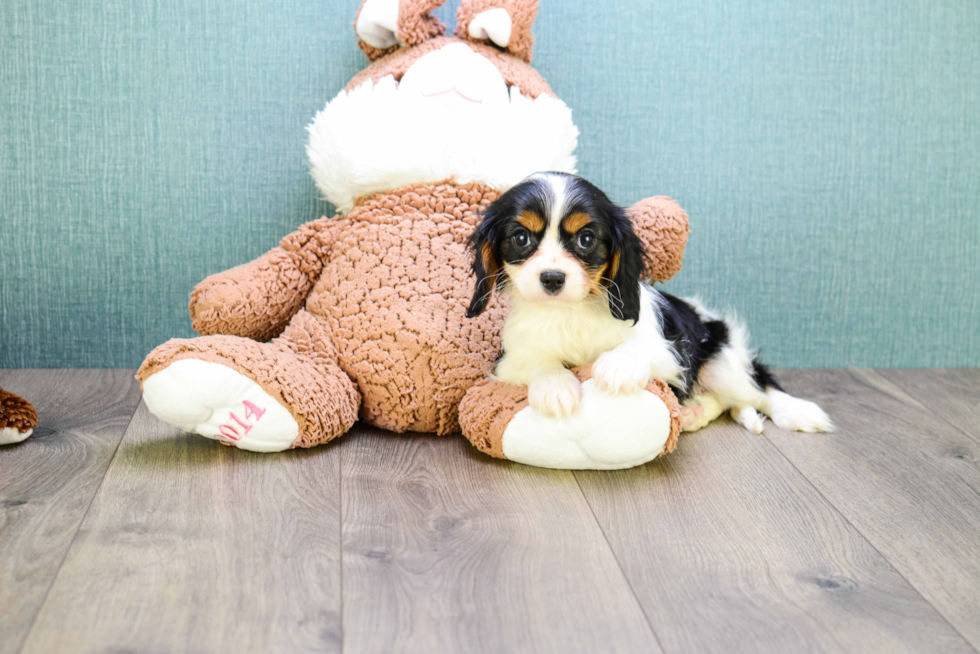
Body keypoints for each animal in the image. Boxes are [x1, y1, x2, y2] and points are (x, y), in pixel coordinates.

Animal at [468, 173, 836, 436]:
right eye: (521, 238)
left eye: (586, 239)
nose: (552, 278)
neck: (570, 313)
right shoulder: (509, 359)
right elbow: (538, 360)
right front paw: (555, 388)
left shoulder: (670, 349)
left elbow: (637, 347)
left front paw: (615, 367)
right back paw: (692, 412)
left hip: (722, 360)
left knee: (758, 390)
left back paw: (798, 412)